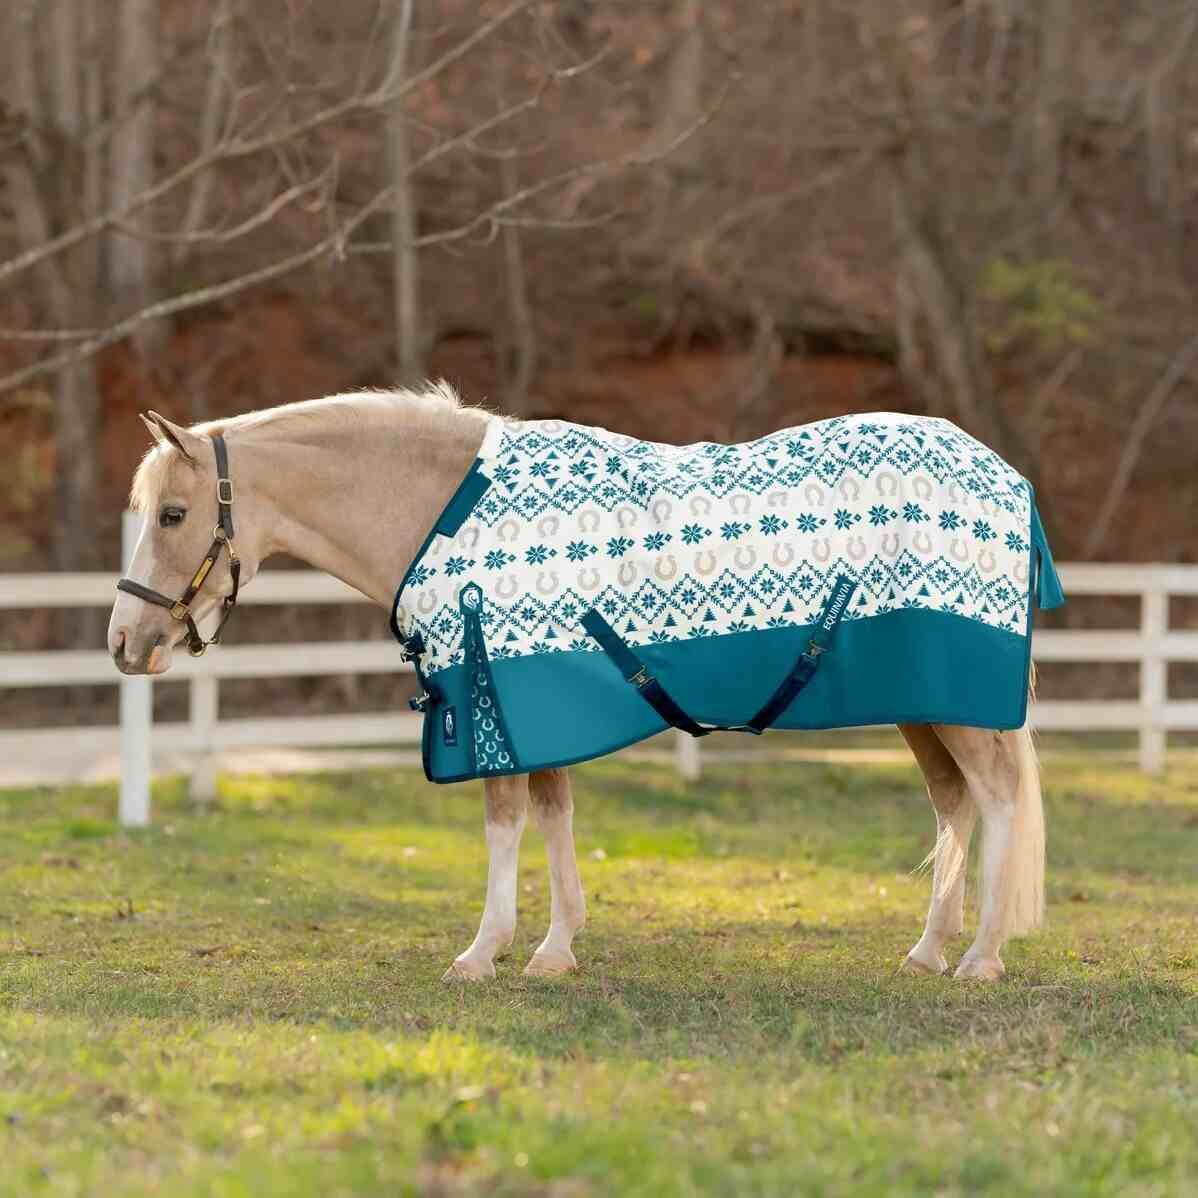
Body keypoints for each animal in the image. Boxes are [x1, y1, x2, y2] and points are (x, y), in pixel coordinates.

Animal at [109, 383, 1058, 982]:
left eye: (174, 514)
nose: (125, 643)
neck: (441, 508)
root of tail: (1006, 475)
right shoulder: (533, 699)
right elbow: (554, 816)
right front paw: (555, 948)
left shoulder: (495, 694)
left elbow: (506, 824)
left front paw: (481, 953)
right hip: (922, 706)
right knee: (953, 803)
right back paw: (929, 950)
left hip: (951, 701)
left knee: (998, 796)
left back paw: (981, 959)